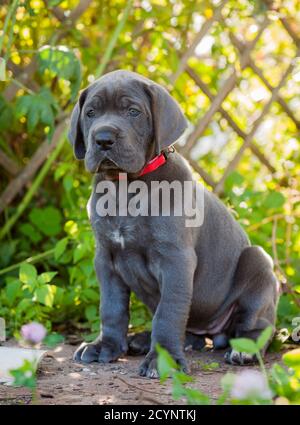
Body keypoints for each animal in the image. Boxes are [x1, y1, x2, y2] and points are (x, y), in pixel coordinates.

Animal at [68, 69, 278, 378]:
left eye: (133, 112)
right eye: (91, 113)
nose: (103, 139)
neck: (126, 187)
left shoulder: (176, 259)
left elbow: (168, 312)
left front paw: (162, 360)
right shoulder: (105, 258)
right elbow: (111, 307)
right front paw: (105, 346)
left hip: (258, 262)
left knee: (259, 326)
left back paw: (244, 350)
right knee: (189, 332)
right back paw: (142, 339)